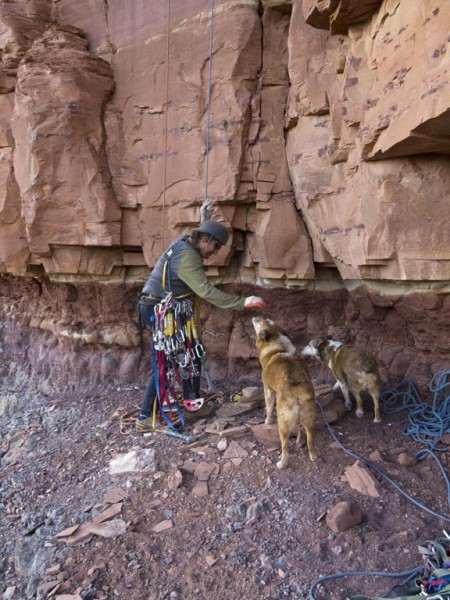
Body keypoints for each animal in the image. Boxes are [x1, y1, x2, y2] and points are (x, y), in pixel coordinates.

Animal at [251, 316, 318, 472]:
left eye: (260, 322)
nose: (255, 317)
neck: (277, 344)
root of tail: (299, 393)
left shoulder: (268, 390)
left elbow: (269, 409)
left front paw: (267, 421)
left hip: (282, 424)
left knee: (285, 446)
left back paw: (282, 463)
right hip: (309, 420)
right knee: (310, 441)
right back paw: (313, 456)